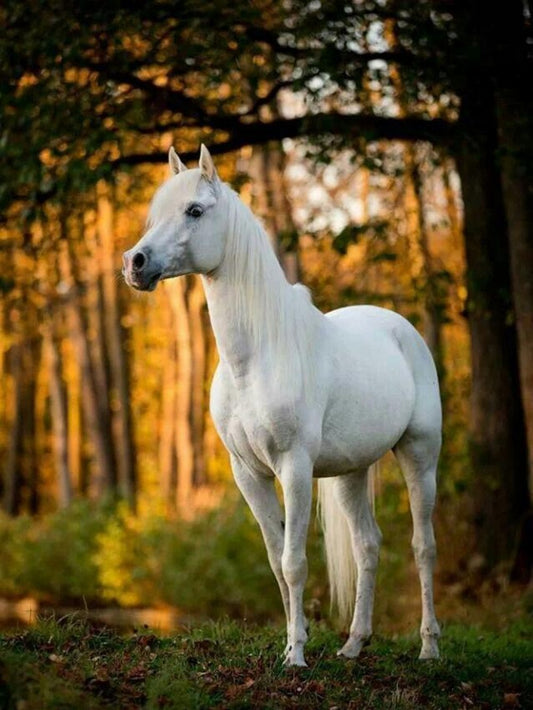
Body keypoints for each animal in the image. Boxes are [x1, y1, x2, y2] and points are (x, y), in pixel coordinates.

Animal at [123, 145, 441, 667]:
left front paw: (296, 656)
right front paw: (295, 641)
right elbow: (275, 559)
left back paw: (430, 647)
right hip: (351, 472)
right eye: (157, 214)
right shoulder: (248, 473)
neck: (256, 358)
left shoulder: (292, 468)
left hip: (420, 455)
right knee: (368, 545)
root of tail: (401, 329)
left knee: (422, 546)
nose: (135, 262)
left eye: (195, 211)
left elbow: (294, 562)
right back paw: (354, 644)